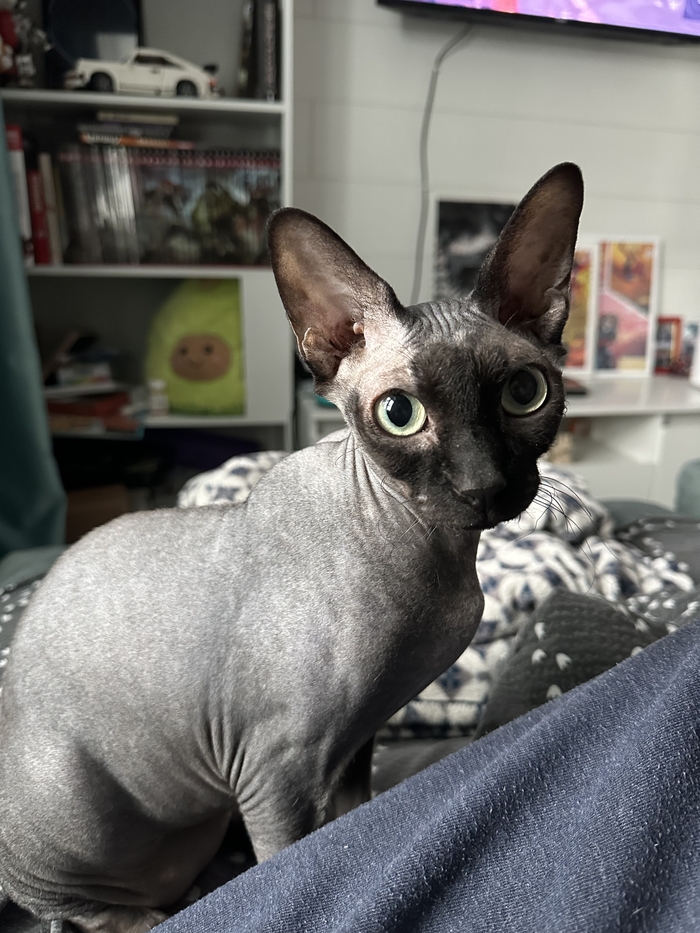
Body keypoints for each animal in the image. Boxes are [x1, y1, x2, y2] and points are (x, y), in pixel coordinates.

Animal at [0, 162, 583, 933]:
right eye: (400, 414)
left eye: (524, 393)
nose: (482, 484)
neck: (433, 551)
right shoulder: (275, 768)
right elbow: (286, 862)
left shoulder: (357, 739)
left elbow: (352, 820)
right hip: (72, 801)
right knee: (74, 907)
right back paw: (156, 914)